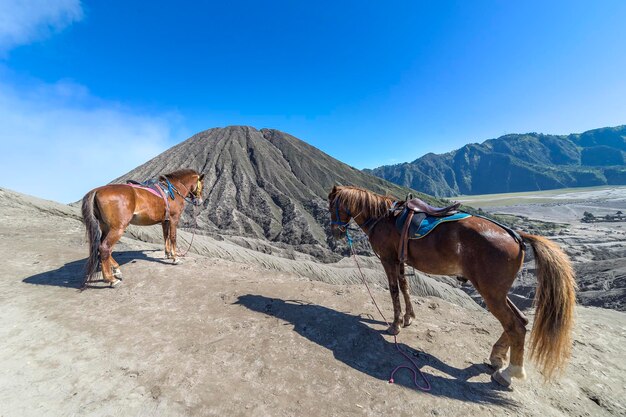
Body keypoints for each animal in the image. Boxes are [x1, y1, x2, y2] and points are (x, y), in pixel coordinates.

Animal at [326, 185, 576, 386]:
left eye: (331, 206)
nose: (335, 233)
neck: (382, 218)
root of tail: (517, 235)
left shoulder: (388, 260)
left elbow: (394, 290)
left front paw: (395, 325)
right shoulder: (400, 261)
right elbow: (405, 287)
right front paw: (409, 317)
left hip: (490, 293)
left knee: (515, 326)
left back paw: (509, 373)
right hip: (498, 292)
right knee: (520, 321)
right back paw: (497, 358)